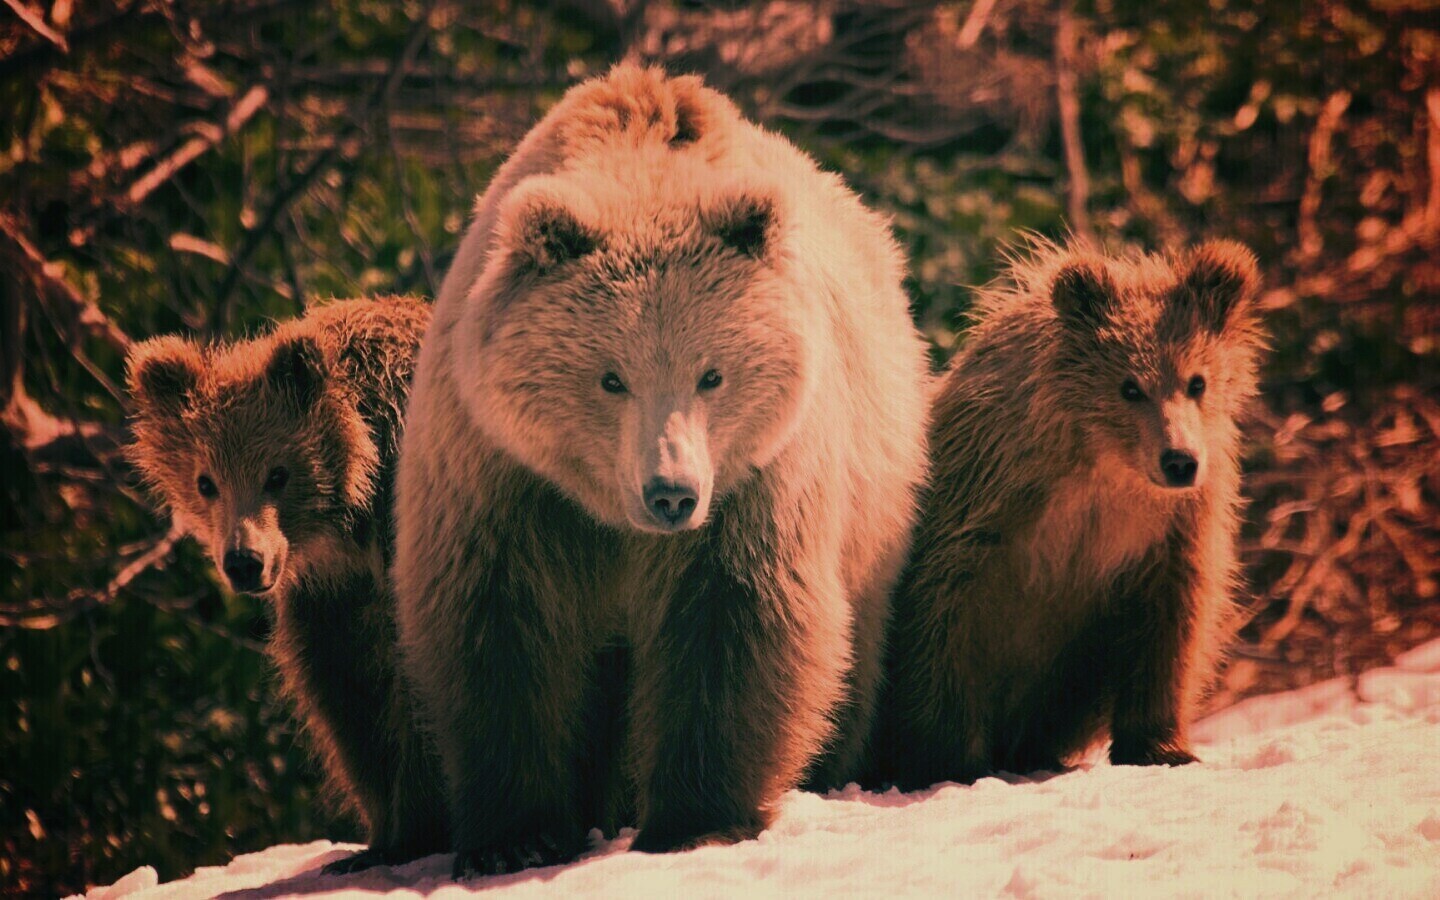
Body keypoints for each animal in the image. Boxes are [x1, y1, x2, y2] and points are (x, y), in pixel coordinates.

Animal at [126, 296, 446, 869]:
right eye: (206, 481)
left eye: (277, 473)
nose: (244, 562)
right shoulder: (331, 596)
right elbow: (346, 695)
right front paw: (379, 837)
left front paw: (418, 832)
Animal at [397, 64, 933, 875]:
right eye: (610, 377)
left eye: (711, 373)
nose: (671, 493)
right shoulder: (503, 475)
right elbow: (499, 630)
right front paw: (513, 837)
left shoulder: (756, 480)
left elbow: (734, 619)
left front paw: (696, 819)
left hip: (873, 501)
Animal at [869, 237, 1267, 783]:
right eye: (1130, 386)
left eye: (1197, 381)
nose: (1179, 461)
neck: (1103, 467)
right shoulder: (987, 505)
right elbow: (942, 622)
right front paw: (948, 759)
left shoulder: (1169, 532)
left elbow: (1170, 628)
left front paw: (1162, 747)